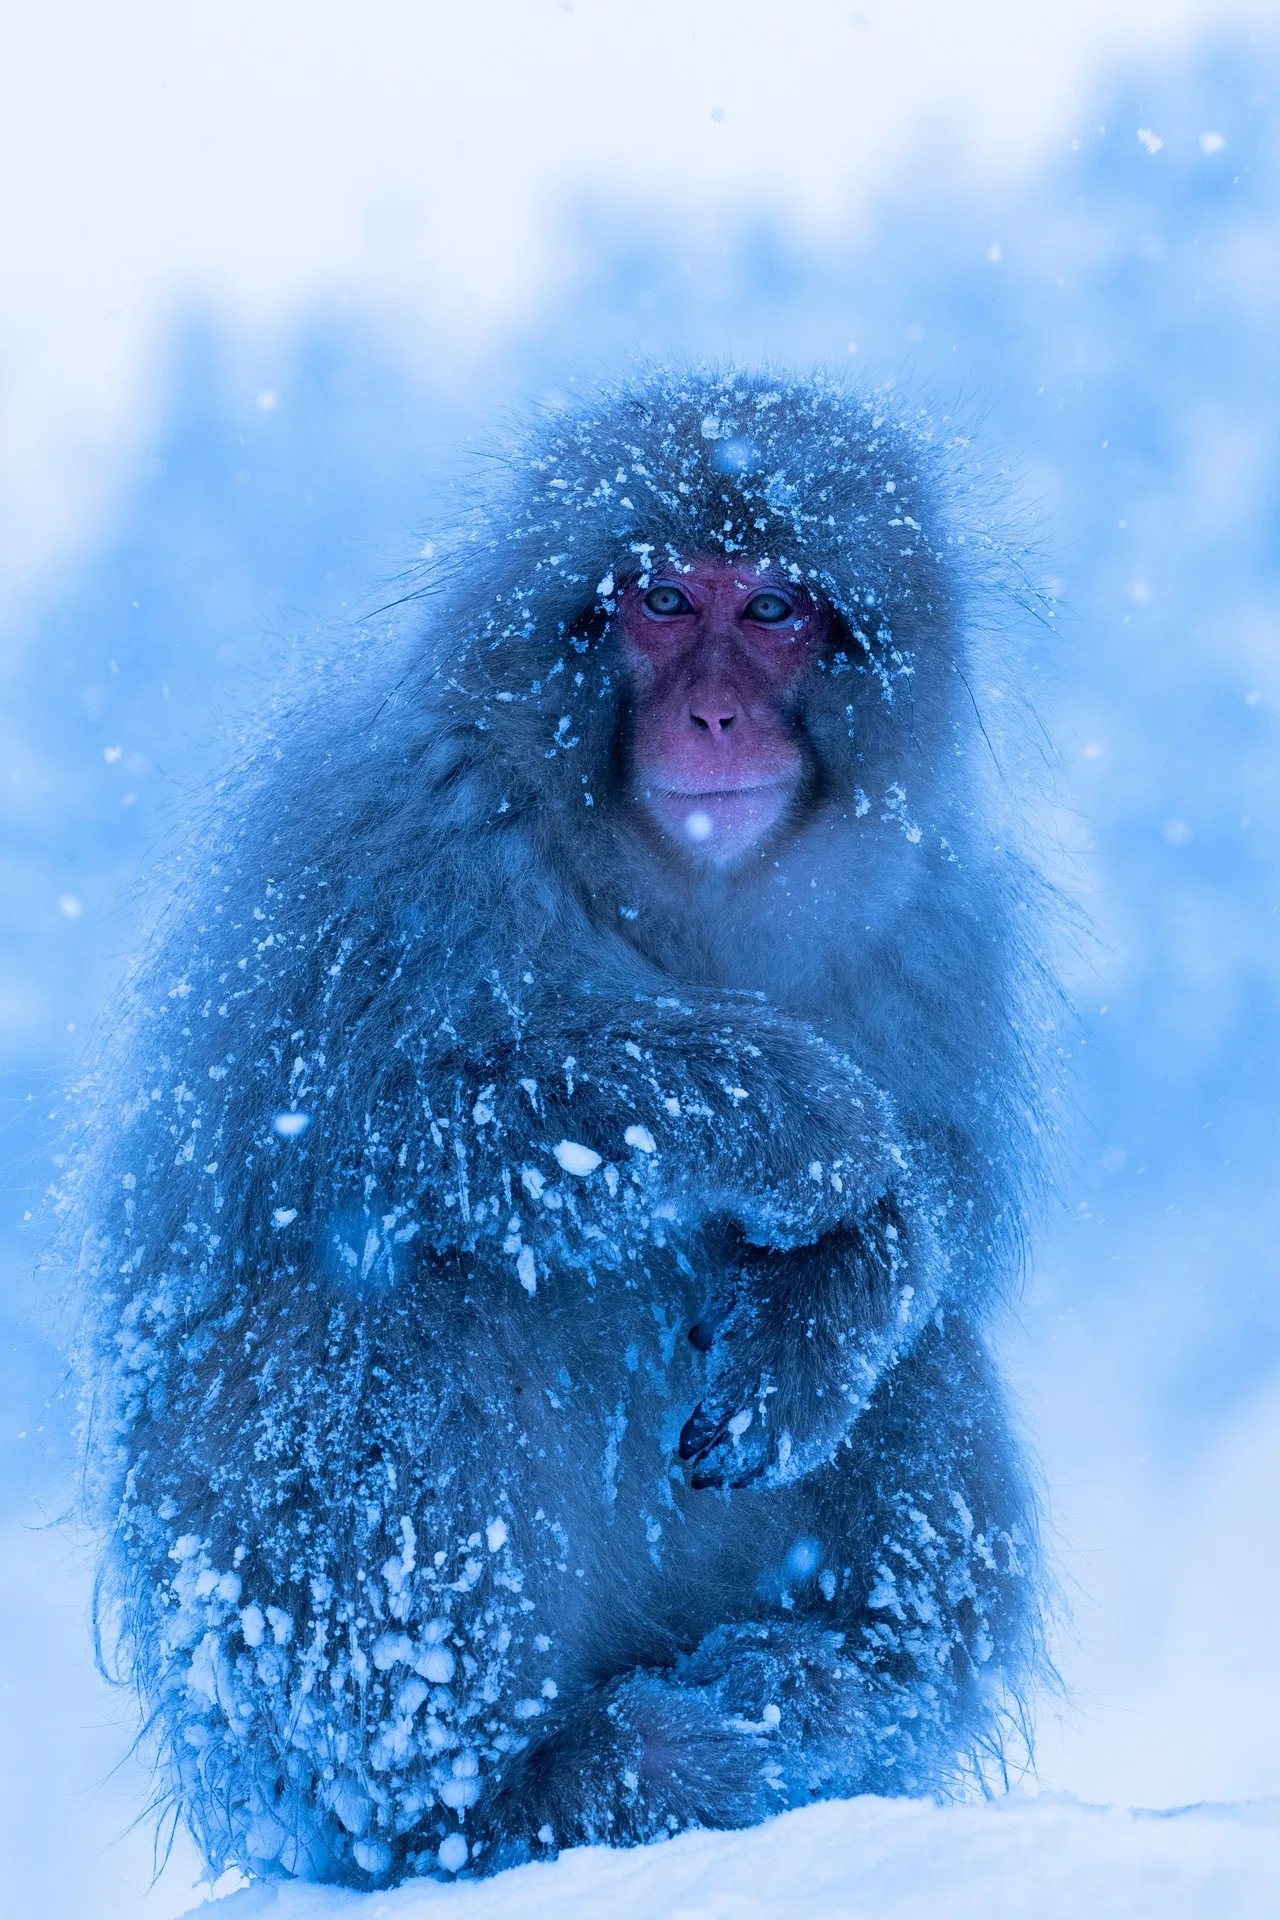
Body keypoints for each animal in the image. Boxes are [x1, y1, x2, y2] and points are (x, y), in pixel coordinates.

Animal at [73, 367, 1055, 1886]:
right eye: (659, 600)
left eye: (773, 609)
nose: (712, 717)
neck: (683, 903)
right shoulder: (387, 839)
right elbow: (351, 1134)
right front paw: (801, 1115)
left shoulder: (942, 912)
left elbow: (944, 1203)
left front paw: (837, 1288)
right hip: (243, 1688)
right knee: (396, 1303)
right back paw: (510, 1790)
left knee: (921, 1368)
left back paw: (827, 1695)